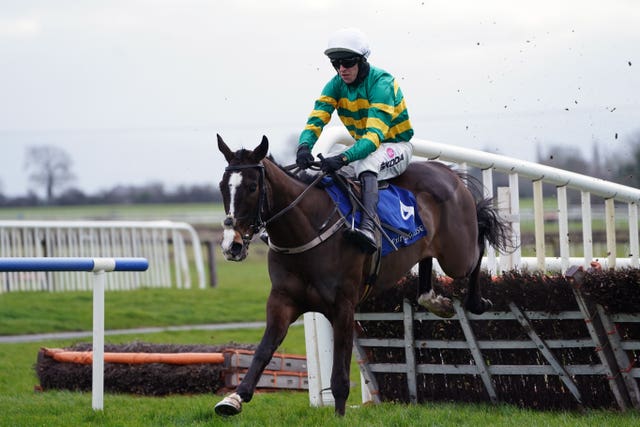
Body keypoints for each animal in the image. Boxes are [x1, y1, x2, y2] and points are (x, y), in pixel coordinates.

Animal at [214, 135, 510, 418]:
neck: (307, 231)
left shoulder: (343, 306)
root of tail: (447, 172)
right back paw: (435, 301)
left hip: (457, 255)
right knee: (428, 260)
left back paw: (477, 301)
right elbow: (263, 351)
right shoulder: (282, 301)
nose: (232, 246)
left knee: (479, 242)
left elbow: (339, 372)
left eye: (252, 187)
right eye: (222, 186)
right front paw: (234, 398)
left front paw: (339, 413)